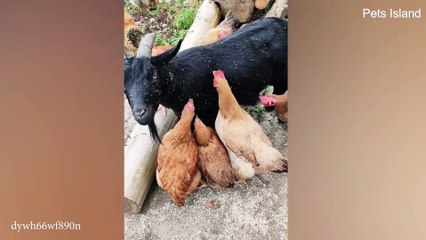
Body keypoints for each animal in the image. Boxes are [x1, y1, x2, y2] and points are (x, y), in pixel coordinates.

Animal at [125, 17, 288, 142]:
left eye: (153, 74)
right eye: (124, 88)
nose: (140, 114)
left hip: (282, 77)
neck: (179, 80)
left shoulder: (207, 111)